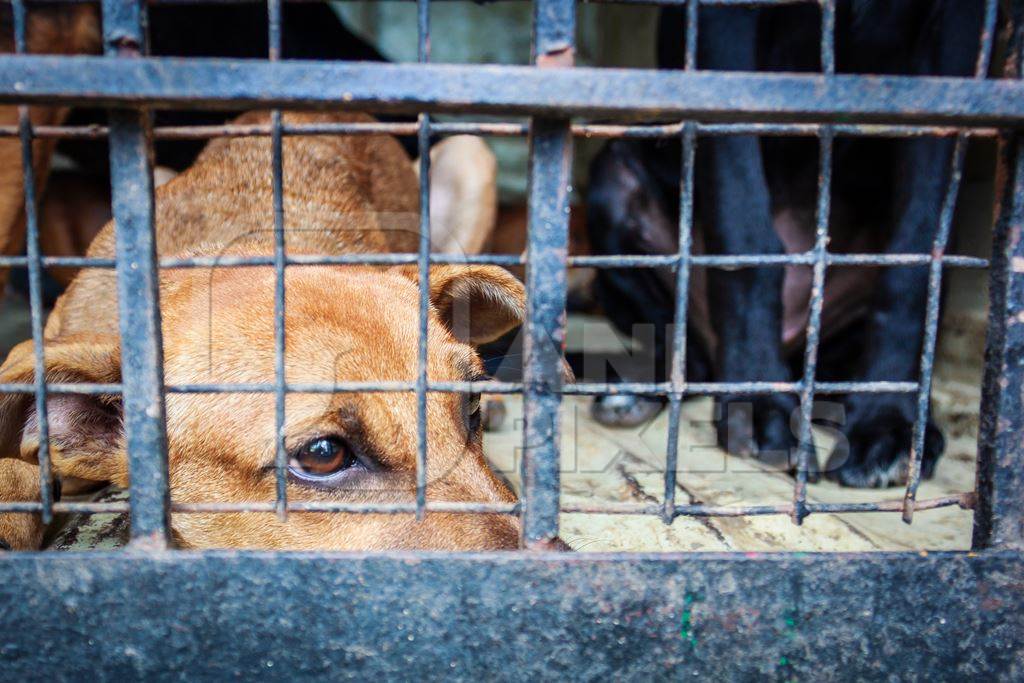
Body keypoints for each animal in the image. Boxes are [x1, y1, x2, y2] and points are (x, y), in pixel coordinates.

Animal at [589, 2, 987, 489]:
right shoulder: (723, 26)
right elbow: (744, 230)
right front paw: (762, 404)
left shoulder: (955, 38)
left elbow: (913, 263)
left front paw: (888, 422)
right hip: (615, 178)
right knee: (686, 356)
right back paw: (636, 390)